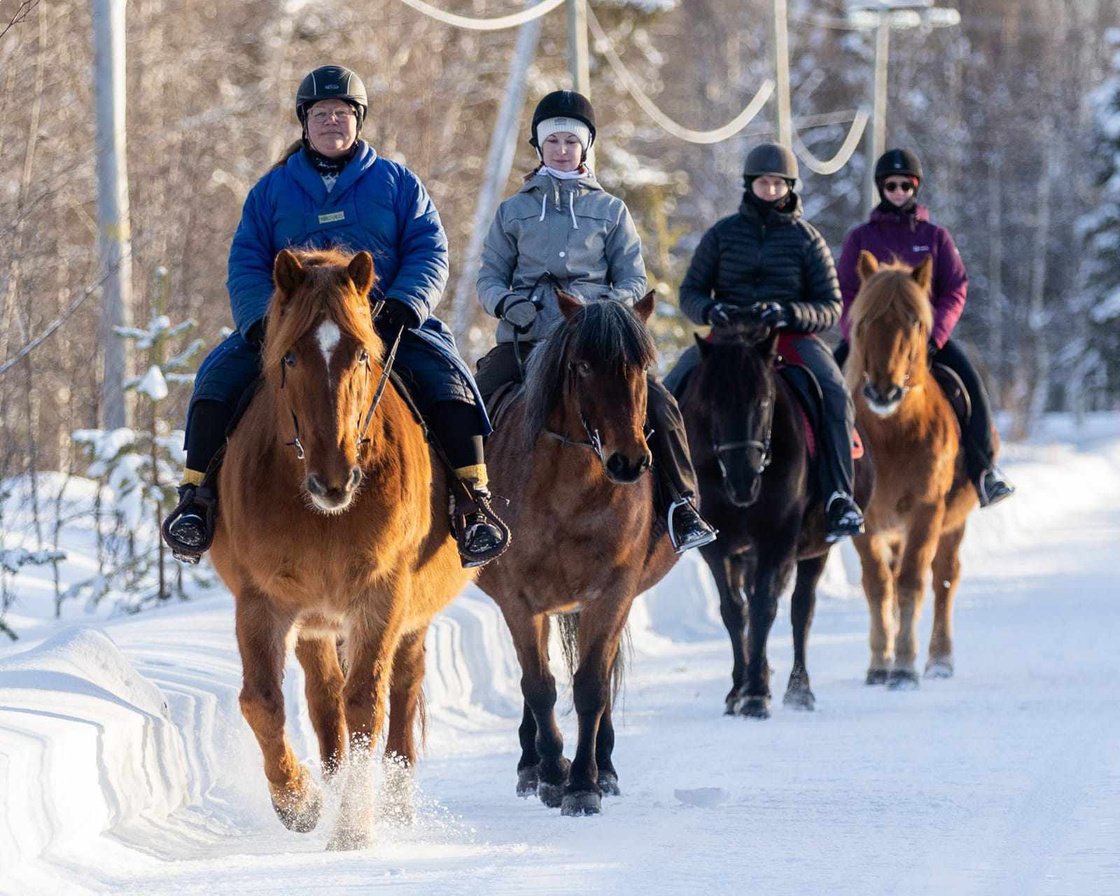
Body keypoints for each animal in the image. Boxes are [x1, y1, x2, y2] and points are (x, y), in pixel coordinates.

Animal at [210, 248, 472, 851]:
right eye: (288, 357)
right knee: (323, 697)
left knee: (401, 690)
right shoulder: (263, 601)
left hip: (408, 617)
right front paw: (299, 803)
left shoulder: (381, 596)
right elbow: (263, 701)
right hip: (315, 623)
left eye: (362, 355)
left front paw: (353, 828)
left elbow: (366, 706)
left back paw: (393, 802)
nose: (335, 480)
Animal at [472, 293, 672, 819]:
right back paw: (532, 766)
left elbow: (591, 687)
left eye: (641, 365)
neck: (571, 492)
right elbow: (539, 687)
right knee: (534, 678)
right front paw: (551, 774)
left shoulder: (611, 594)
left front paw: (584, 783)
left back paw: (606, 767)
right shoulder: (520, 600)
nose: (629, 462)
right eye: (582, 365)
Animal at [672, 324, 846, 716]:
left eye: (765, 401)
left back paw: (799, 689)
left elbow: (764, 606)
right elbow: (734, 611)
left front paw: (754, 694)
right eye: (711, 402)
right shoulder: (718, 545)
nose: (743, 479)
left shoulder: (776, 537)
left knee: (801, 609)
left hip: (816, 549)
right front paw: (739, 690)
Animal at [846, 252, 981, 685]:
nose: (883, 391)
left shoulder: (926, 510)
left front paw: (904, 666)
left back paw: (939, 660)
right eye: (864, 320)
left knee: (944, 579)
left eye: (916, 322)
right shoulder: (866, 517)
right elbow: (877, 585)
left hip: (952, 524)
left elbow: (911, 583)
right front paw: (880, 663)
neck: (892, 438)